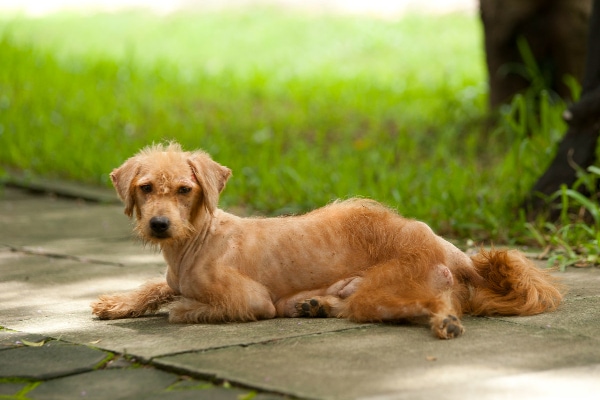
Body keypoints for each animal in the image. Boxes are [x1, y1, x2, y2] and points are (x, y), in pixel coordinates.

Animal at [91, 142, 564, 340]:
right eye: (146, 188)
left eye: (184, 190)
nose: (159, 225)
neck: (196, 239)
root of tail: (450, 248)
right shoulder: (171, 277)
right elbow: (156, 287)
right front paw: (117, 303)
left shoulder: (250, 300)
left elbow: (181, 309)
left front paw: (178, 307)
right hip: (365, 292)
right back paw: (315, 305)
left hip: (384, 289)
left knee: (435, 302)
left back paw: (445, 321)